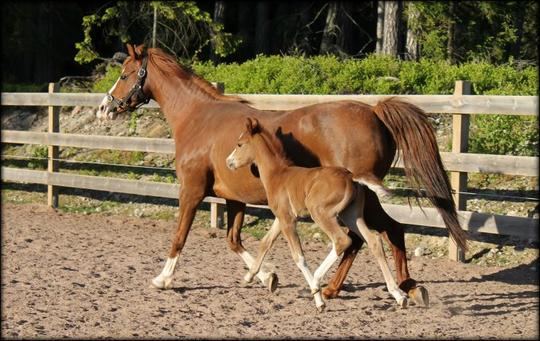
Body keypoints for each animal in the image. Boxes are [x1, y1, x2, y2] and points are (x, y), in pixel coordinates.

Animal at [226, 117, 408, 310]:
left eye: (239, 144)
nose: (228, 162)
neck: (278, 174)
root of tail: (350, 177)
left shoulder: (288, 220)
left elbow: (298, 256)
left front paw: (318, 300)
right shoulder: (280, 219)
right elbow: (265, 243)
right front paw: (251, 277)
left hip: (321, 213)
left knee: (342, 241)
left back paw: (316, 283)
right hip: (351, 216)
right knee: (374, 241)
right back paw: (398, 295)